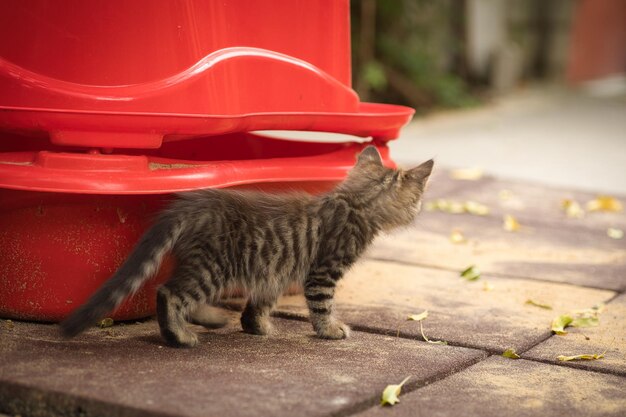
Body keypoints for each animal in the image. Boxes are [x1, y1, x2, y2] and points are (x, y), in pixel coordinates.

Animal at [59, 145, 428, 346]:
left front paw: (256, 327)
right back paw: (179, 337)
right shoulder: (323, 271)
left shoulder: (274, 272)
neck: (353, 201)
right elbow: (322, 305)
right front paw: (330, 330)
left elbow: (259, 305)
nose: (419, 213)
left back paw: (209, 319)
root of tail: (195, 203)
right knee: (168, 292)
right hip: (213, 267)